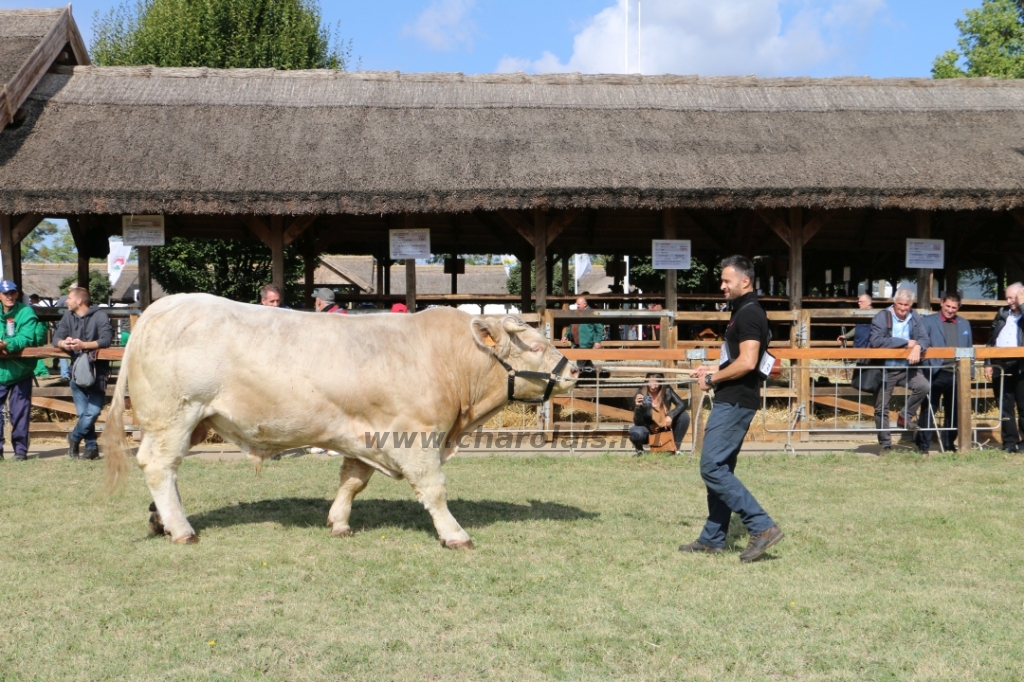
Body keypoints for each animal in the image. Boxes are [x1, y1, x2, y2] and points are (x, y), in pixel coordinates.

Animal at [109, 292, 585, 548]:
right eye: (535, 345)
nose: (576, 369)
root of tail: (160, 307)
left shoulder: (364, 433)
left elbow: (352, 481)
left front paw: (338, 522)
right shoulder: (415, 436)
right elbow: (434, 489)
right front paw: (454, 534)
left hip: (193, 421)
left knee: (165, 470)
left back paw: (160, 519)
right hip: (176, 414)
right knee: (159, 466)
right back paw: (181, 528)